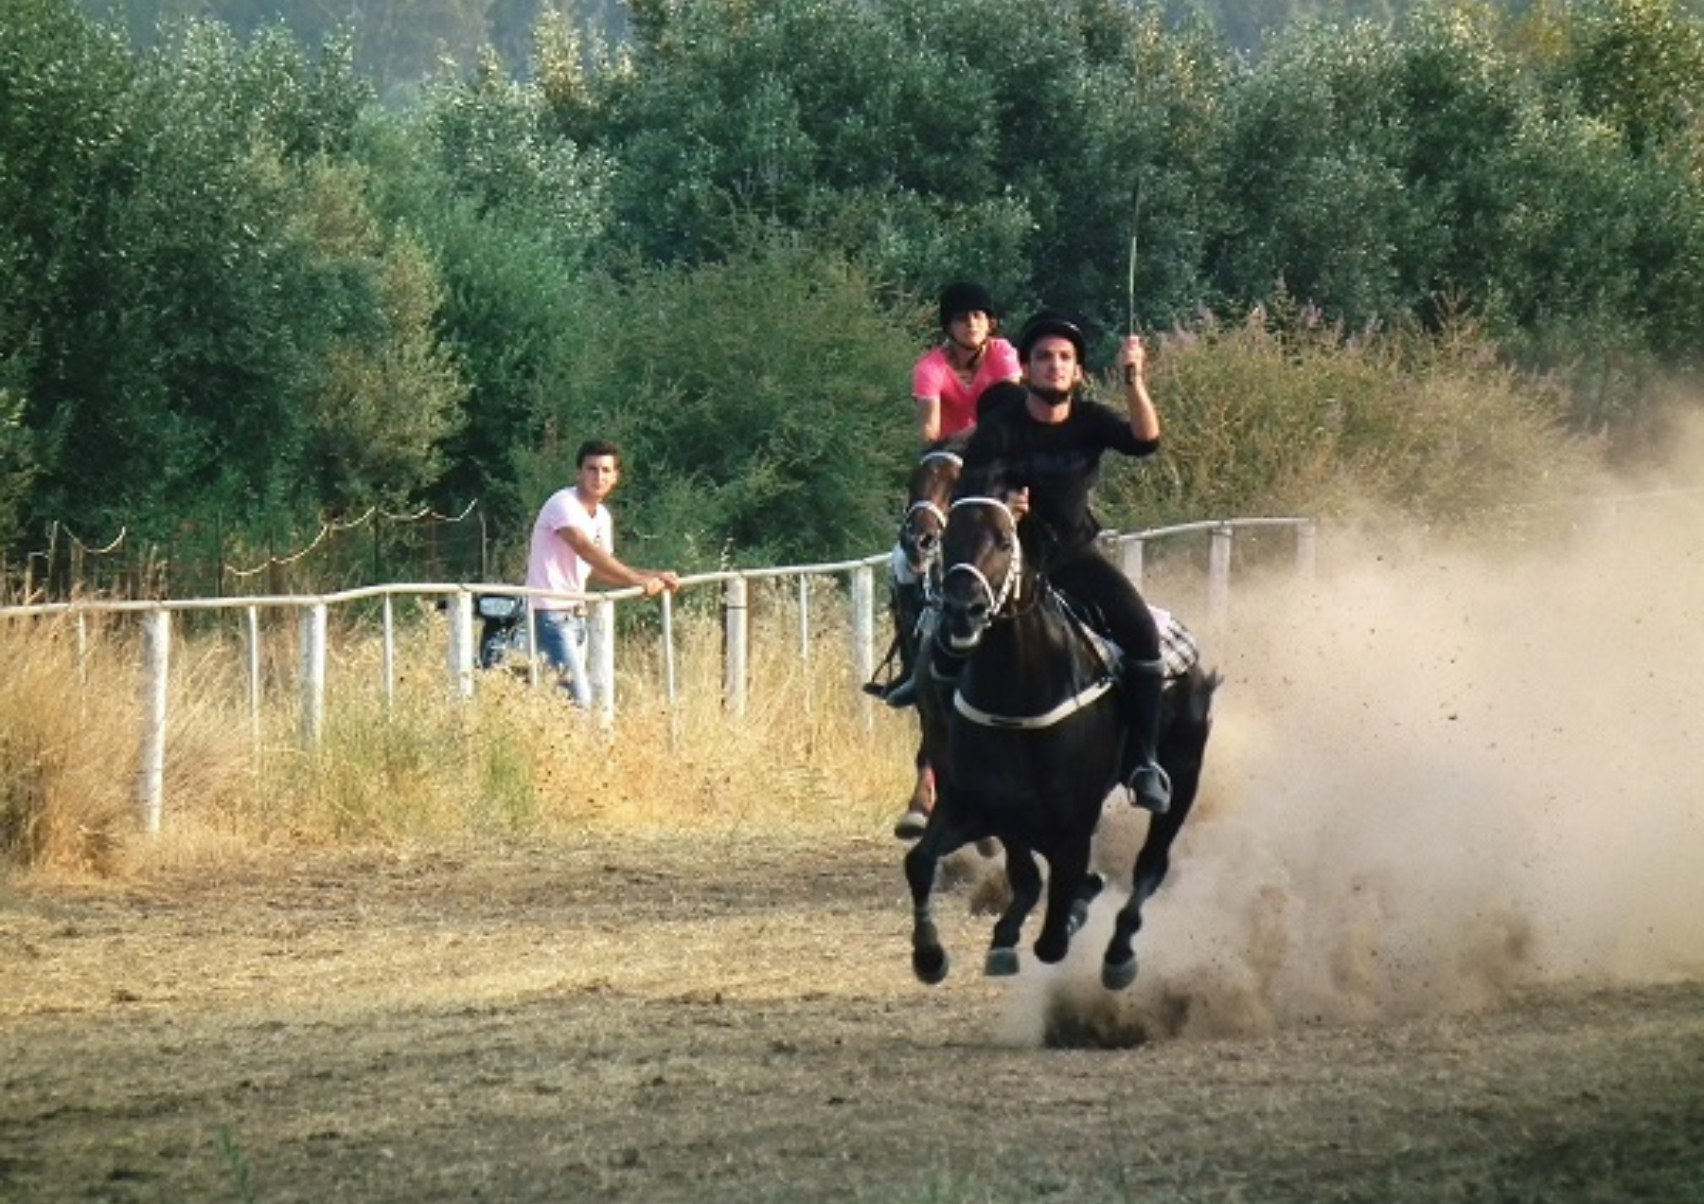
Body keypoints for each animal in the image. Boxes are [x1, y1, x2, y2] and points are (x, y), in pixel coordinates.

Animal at [906, 493, 1226, 994]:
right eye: (947, 538)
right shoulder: (978, 806)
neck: (1018, 694)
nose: (962, 610)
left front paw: (1069, 911)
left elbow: (1055, 926)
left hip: (1184, 776)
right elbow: (923, 862)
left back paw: (1118, 953)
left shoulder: (1072, 819)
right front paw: (931, 956)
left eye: (1004, 541)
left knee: (1150, 866)